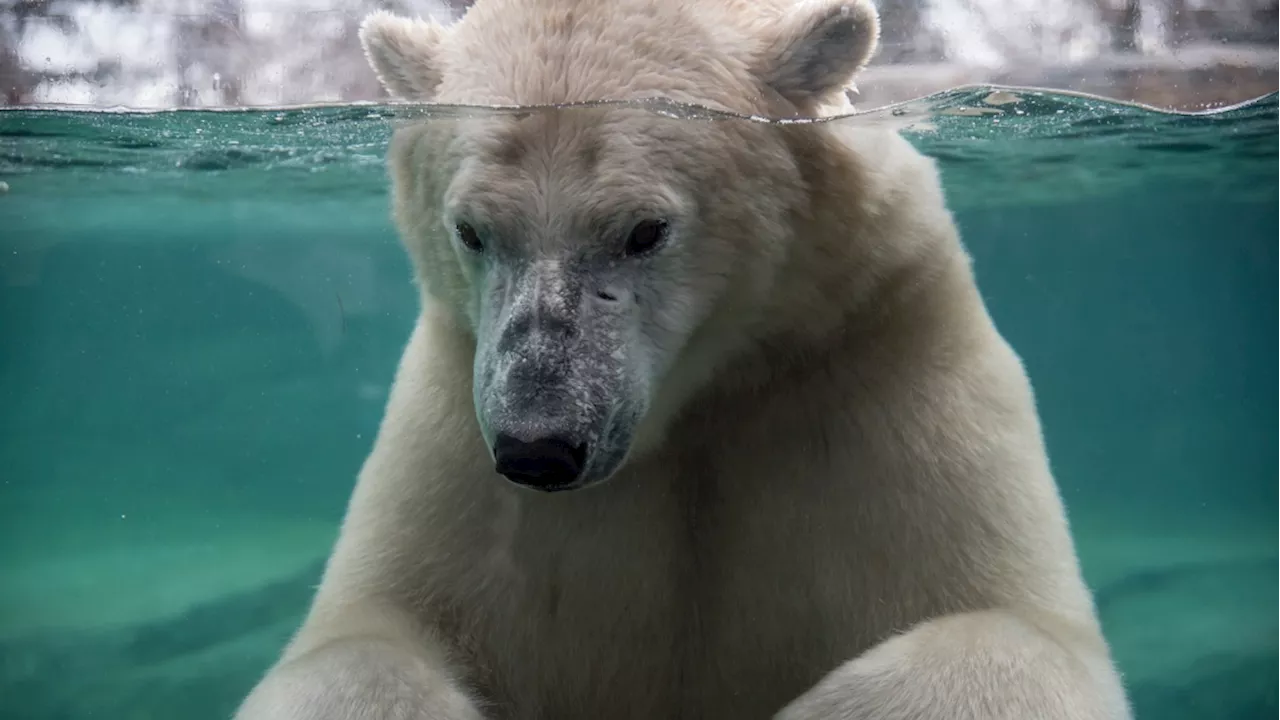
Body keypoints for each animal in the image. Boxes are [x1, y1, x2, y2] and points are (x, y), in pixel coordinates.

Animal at [238, 1, 1131, 717]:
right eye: (472, 230)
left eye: (644, 230)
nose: (539, 447)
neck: (693, 399)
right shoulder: (458, 429)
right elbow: (367, 636)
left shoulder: (878, 363)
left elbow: (1009, 626)